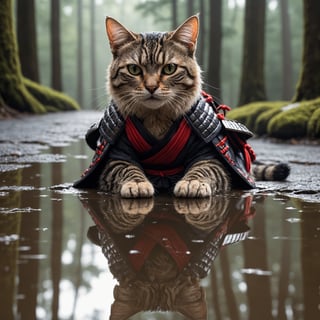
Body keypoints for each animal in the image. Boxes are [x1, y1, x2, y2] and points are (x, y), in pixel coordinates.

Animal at [74, 15, 290, 198]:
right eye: (134, 69)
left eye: (169, 68)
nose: (151, 87)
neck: (157, 118)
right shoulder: (116, 155)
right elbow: (126, 168)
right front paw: (137, 183)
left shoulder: (209, 155)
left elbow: (203, 168)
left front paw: (192, 183)